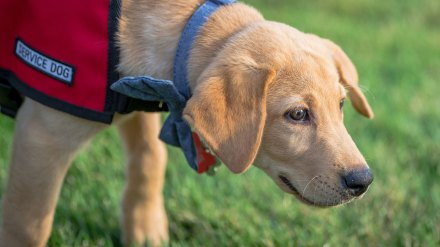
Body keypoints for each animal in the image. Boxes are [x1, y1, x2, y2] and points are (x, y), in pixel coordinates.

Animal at [0, 0, 374, 246]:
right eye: (297, 115)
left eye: (341, 104)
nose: (363, 181)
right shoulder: (42, 135)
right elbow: (29, 225)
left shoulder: (140, 95)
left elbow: (150, 158)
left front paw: (145, 228)